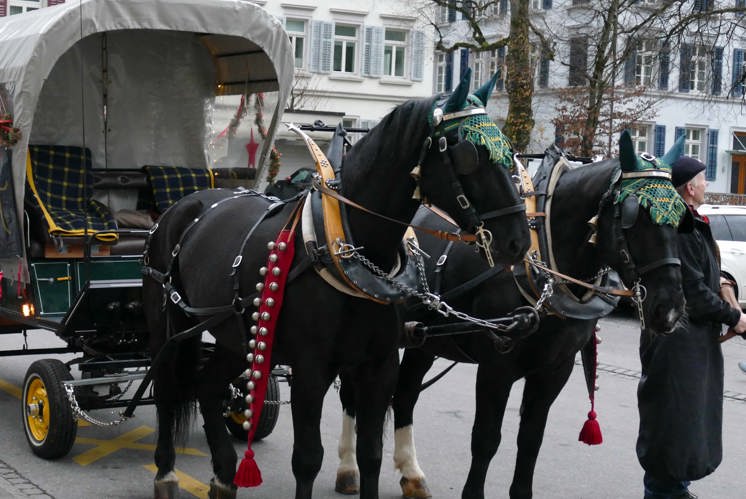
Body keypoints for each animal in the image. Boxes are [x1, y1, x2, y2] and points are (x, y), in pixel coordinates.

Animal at [141, 69, 528, 499]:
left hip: (235, 334)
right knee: (168, 388)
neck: (349, 246)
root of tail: (185, 204)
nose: (519, 241)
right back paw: (166, 472)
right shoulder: (311, 368)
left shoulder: (379, 365)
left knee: (207, 386)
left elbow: (372, 453)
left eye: (509, 151)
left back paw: (224, 475)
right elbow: (308, 459)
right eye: (469, 155)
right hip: (169, 325)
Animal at [336, 131, 684, 498]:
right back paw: (348, 468)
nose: (670, 309)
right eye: (632, 217)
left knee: (404, 396)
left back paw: (412, 473)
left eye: (680, 217)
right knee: (352, 395)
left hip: (423, 341)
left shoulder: (554, 371)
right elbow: (486, 438)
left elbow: (530, 440)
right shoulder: (496, 367)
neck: (542, 264)